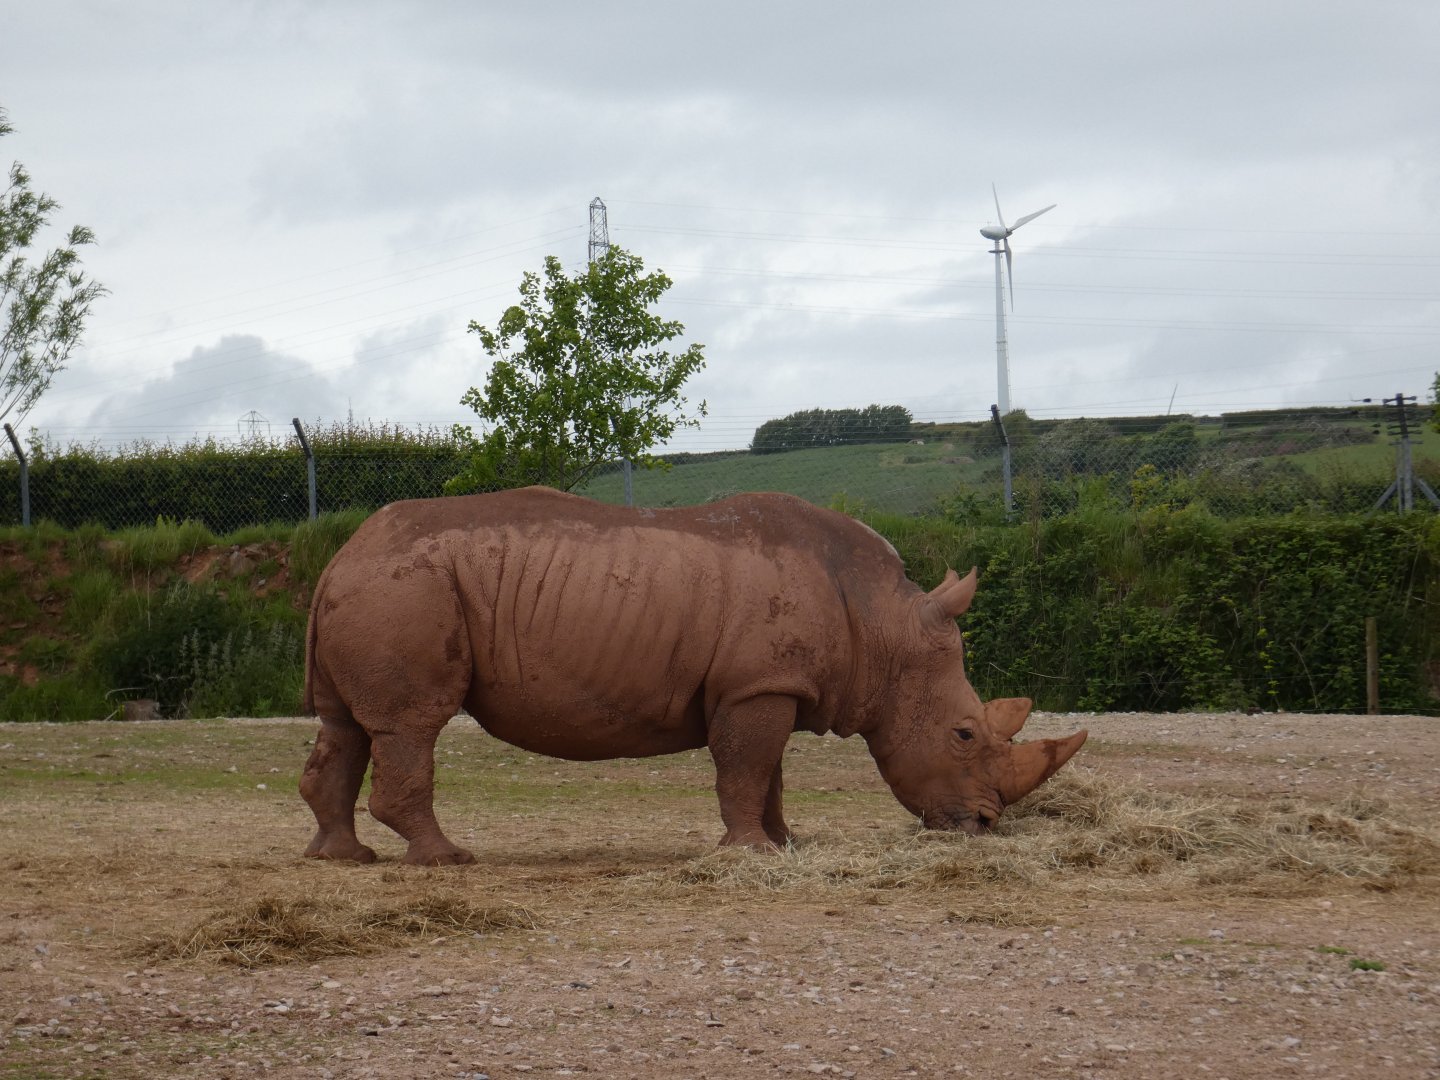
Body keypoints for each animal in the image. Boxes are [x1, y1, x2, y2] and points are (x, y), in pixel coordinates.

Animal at [300, 488, 1086, 865]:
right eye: (963, 734)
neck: (884, 627)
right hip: (407, 588)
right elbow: (744, 769)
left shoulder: (769, 682)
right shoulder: (756, 685)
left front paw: (784, 846)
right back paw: (446, 860)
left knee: (347, 725)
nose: (983, 825)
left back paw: (344, 858)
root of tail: (340, 555)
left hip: (380, 588)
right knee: (412, 726)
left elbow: (769, 773)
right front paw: (750, 853)